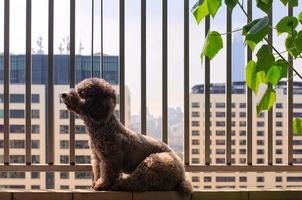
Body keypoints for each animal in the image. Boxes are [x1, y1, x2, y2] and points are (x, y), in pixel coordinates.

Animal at [61, 77, 192, 194]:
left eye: (81, 93)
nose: (63, 94)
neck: (103, 127)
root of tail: (183, 176)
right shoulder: (97, 158)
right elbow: (98, 171)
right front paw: (96, 182)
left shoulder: (111, 159)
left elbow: (108, 174)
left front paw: (101, 185)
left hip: (154, 162)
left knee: (138, 182)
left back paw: (119, 185)